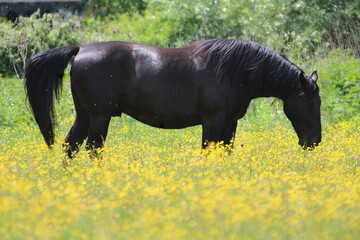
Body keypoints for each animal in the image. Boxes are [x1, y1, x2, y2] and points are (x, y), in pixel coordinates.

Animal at [24, 38, 320, 158]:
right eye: (309, 102)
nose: (314, 142)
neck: (233, 70)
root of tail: (80, 49)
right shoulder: (212, 121)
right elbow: (208, 151)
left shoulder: (230, 123)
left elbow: (225, 152)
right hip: (99, 116)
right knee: (93, 149)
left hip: (85, 115)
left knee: (70, 146)